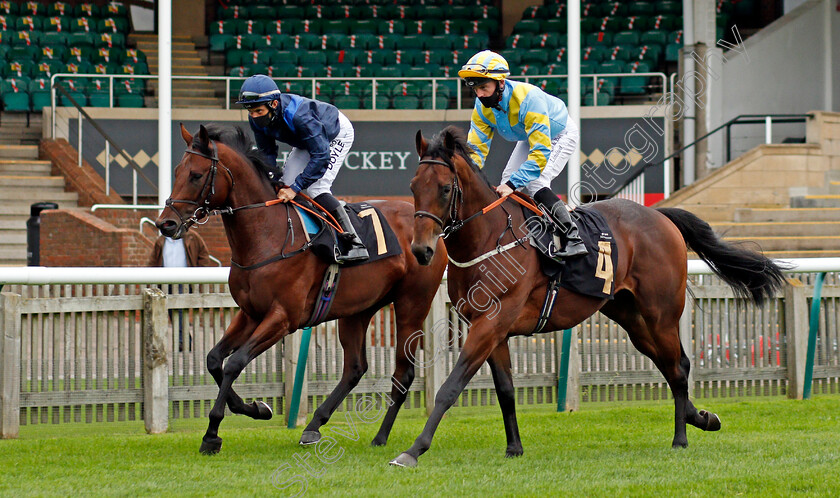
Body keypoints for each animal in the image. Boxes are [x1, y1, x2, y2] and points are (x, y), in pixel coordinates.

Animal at [155, 122, 450, 454]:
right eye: (177, 171)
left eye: (195, 175)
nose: (165, 224)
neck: (268, 233)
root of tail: (432, 228)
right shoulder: (250, 313)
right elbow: (214, 359)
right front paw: (256, 408)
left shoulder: (283, 318)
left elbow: (235, 363)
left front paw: (213, 432)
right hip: (358, 309)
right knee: (355, 367)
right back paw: (313, 426)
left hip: (412, 303)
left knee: (404, 372)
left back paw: (380, 436)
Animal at [390, 127, 784, 466]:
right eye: (413, 186)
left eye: (444, 189)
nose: (422, 250)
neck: (490, 237)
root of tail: (661, 216)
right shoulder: (493, 330)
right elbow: (505, 390)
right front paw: (514, 448)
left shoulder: (490, 324)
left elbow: (450, 388)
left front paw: (412, 451)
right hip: (631, 318)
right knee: (671, 364)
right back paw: (701, 417)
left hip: (661, 314)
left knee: (679, 367)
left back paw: (681, 438)